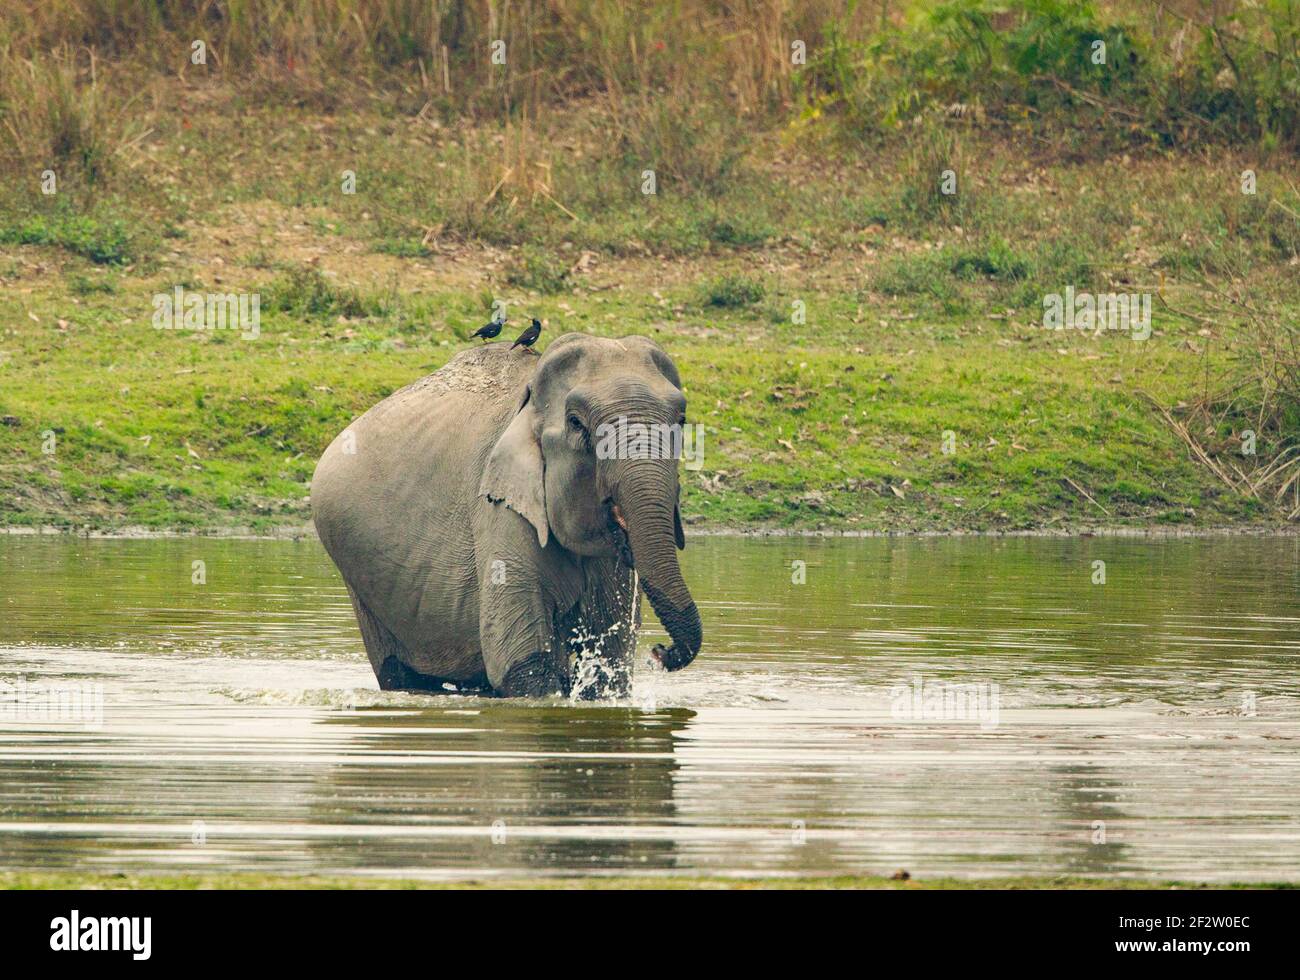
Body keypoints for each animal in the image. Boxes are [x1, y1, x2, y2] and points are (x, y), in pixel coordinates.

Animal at [310, 332, 703, 699]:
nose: (660, 651)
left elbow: (609, 667)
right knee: (398, 673)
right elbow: (523, 666)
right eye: (577, 423)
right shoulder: (499, 505)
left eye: (682, 420)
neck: (530, 404)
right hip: (359, 581)